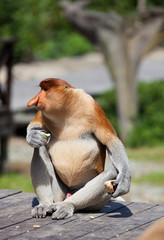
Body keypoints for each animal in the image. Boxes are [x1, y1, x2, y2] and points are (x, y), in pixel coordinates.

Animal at [26, 78, 131, 219]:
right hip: (60, 191)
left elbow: (111, 141)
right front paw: (33, 136)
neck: (65, 111)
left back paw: (66, 206)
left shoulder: (92, 106)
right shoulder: (42, 113)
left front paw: (124, 181)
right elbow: (35, 124)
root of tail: (70, 192)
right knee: (40, 148)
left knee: (112, 172)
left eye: (45, 90)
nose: (34, 101)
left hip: (95, 200)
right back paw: (45, 205)